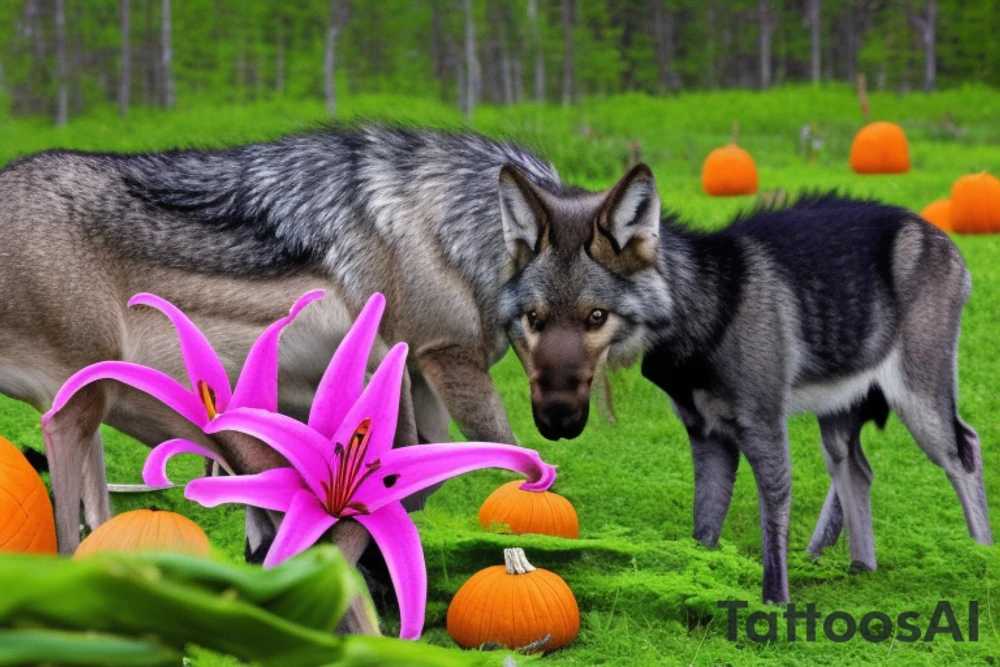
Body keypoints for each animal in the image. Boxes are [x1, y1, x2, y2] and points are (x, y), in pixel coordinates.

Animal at [497, 172, 993, 603]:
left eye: (597, 316)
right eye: (534, 319)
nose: (555, 420)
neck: (708, 312)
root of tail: (941, 238)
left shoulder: (763, 429)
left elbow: (771, 524)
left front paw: (775, 605)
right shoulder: (707, 438)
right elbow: (703, 530)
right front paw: (696, 593)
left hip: (920, 404)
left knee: (966, 448)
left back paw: (981, 558)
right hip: (838, 418)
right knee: (857, 469)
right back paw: (859, 567)